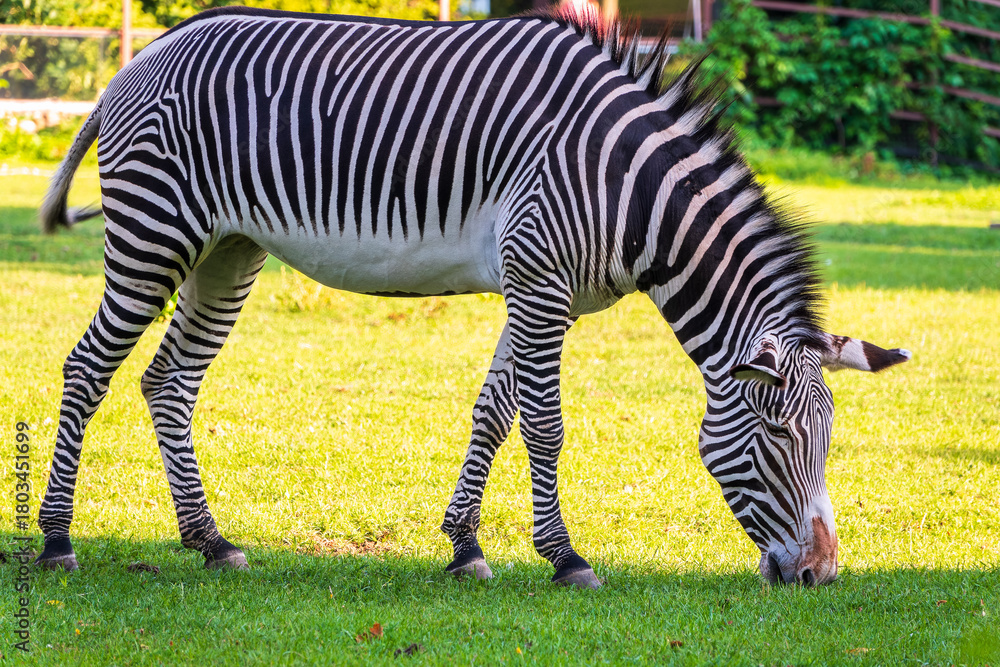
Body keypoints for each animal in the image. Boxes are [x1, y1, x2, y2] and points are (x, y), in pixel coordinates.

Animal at [37, 6, 910, 588]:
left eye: (829, 437)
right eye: (777, 435)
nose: (824, 574)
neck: (628, 185)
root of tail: (142, 55)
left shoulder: (543, 289)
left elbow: (495, 413)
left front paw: (465, 546)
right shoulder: (539, 280)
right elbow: (547, 427)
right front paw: (566, 557)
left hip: (226, 250)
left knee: (168, 381)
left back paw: (209, 539)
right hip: (155, 232)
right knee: (86, 369)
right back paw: (55, 540)